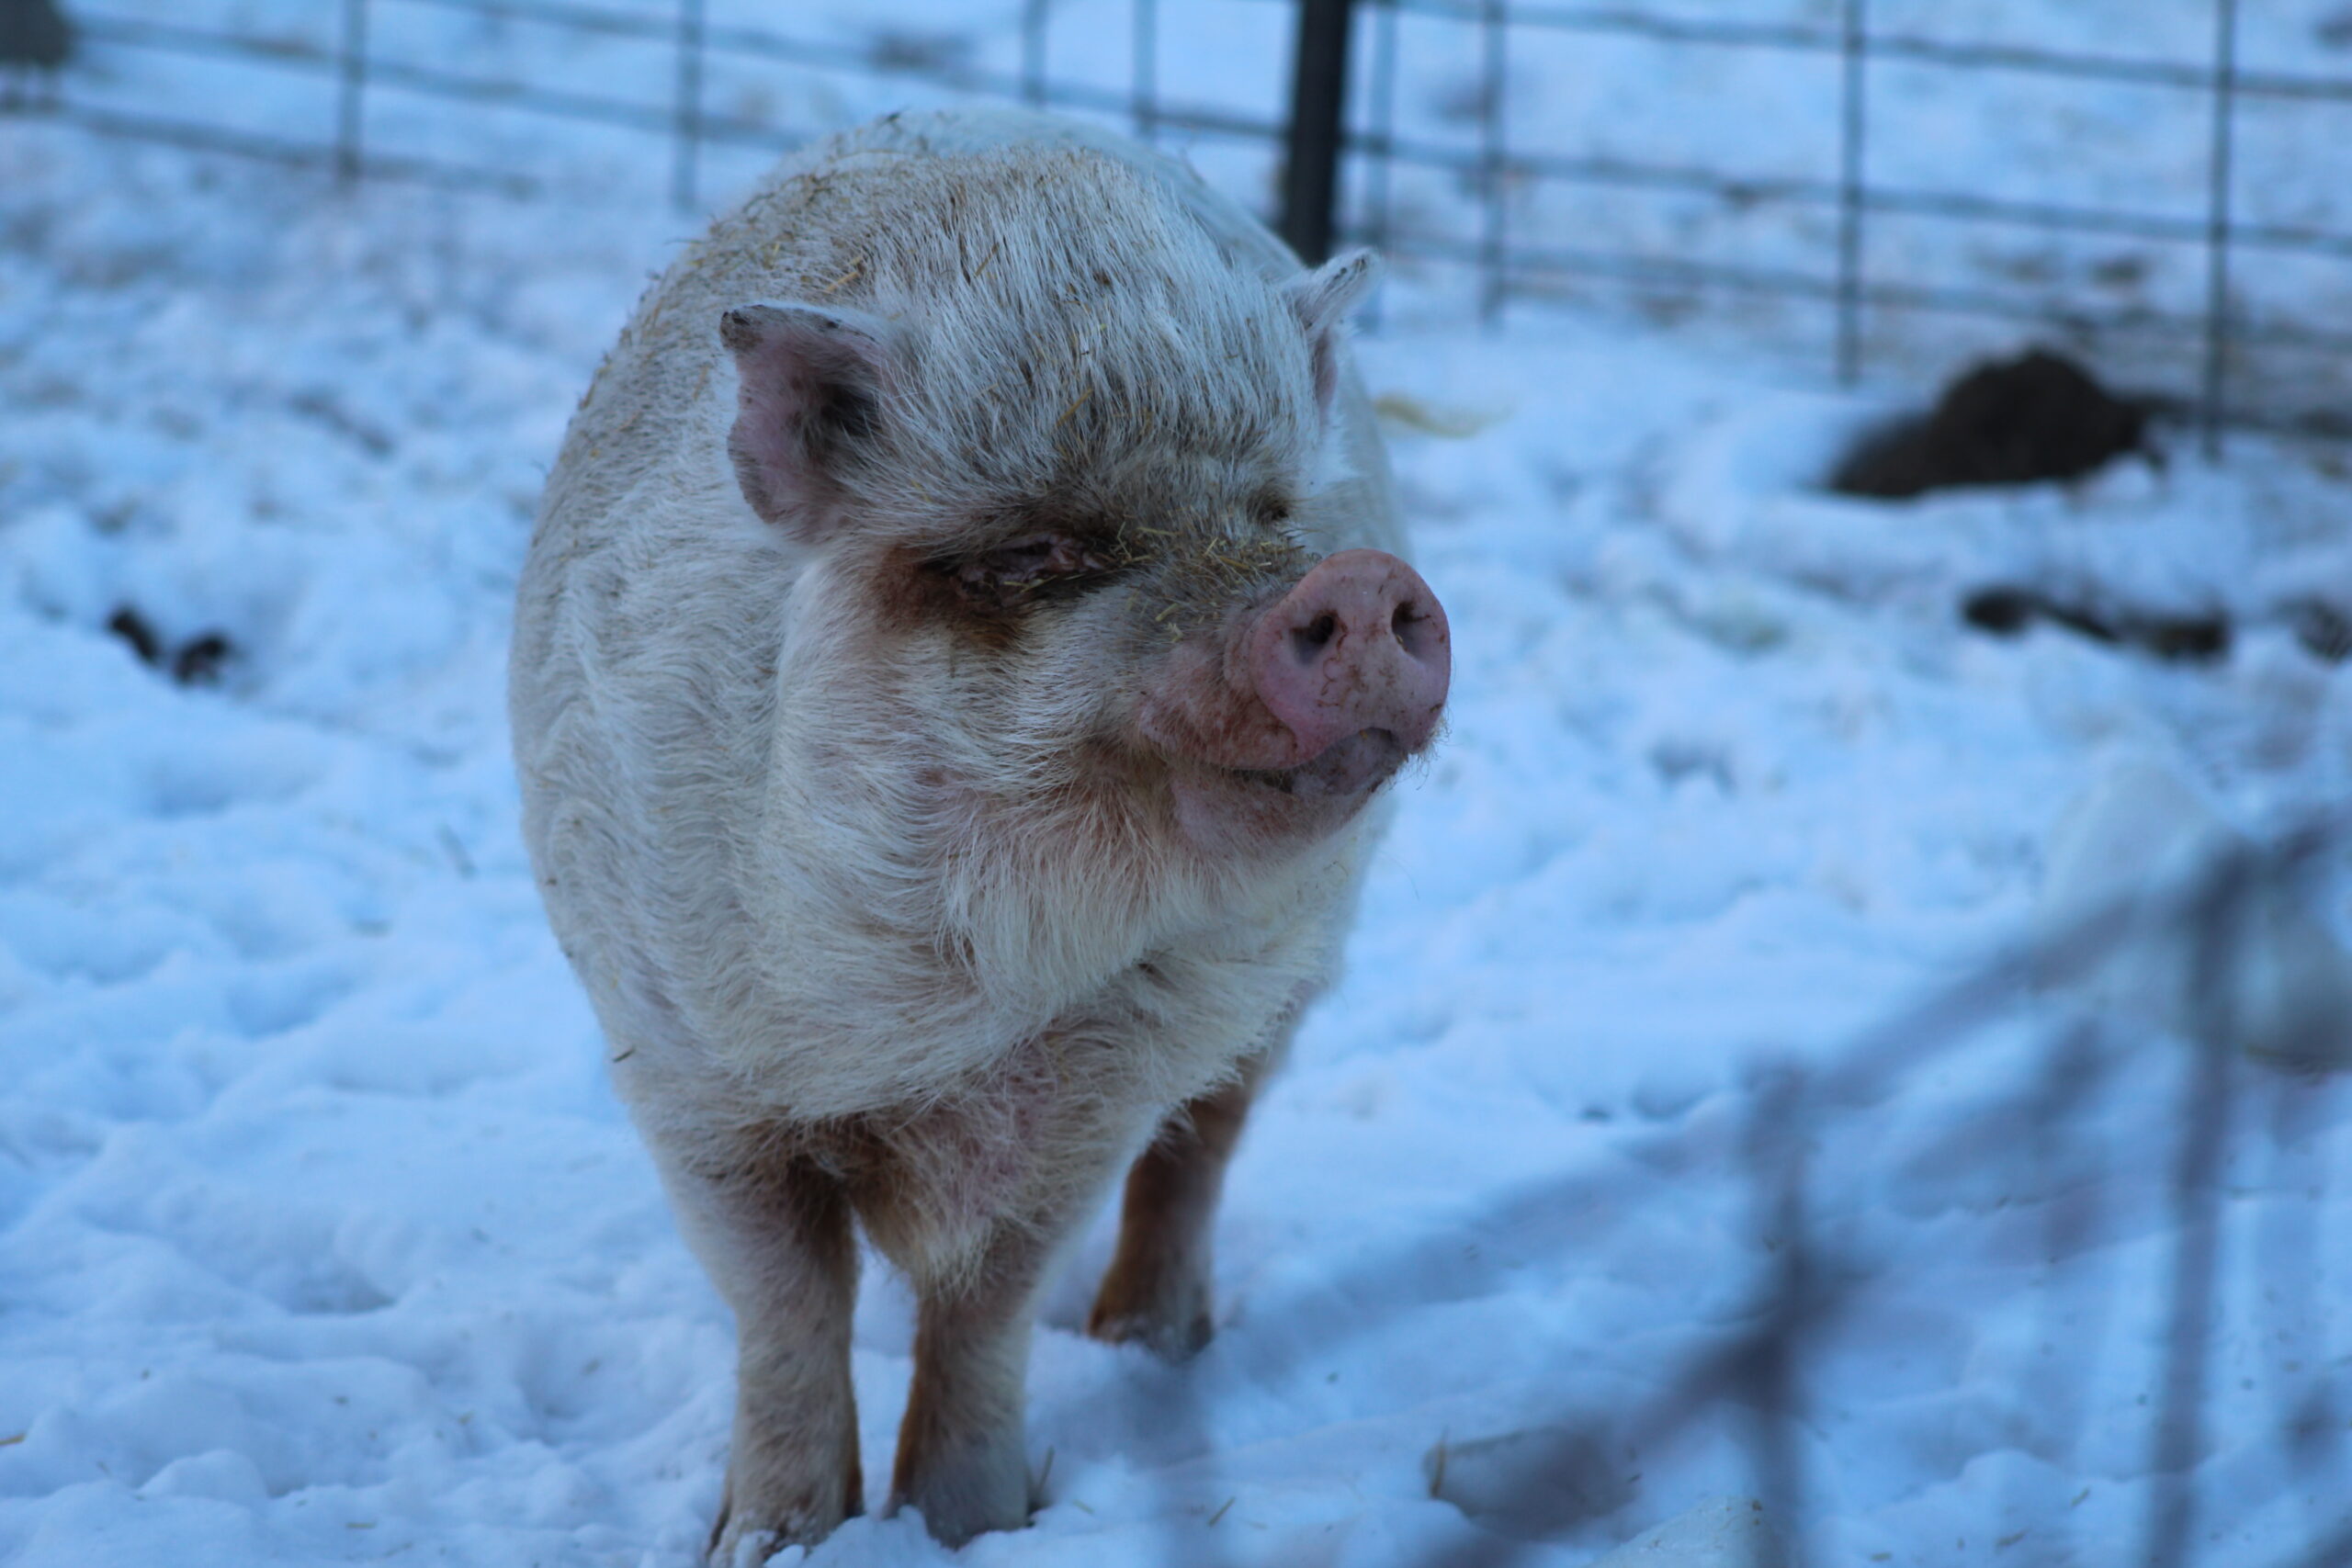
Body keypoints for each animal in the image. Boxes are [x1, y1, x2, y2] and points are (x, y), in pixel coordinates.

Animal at [508, 106, 1449, 1557]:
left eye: (1269, 517)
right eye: (1035, 556)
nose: (1356, 583)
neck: (934, 1021)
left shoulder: (1096, 1090)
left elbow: (988, 1304)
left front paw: (967, 1525)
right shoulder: (678, 1061)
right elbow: (787, 1301)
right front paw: (769, 1539)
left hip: (1295, 971)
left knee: (1207, 1143)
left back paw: (1150, 1347)